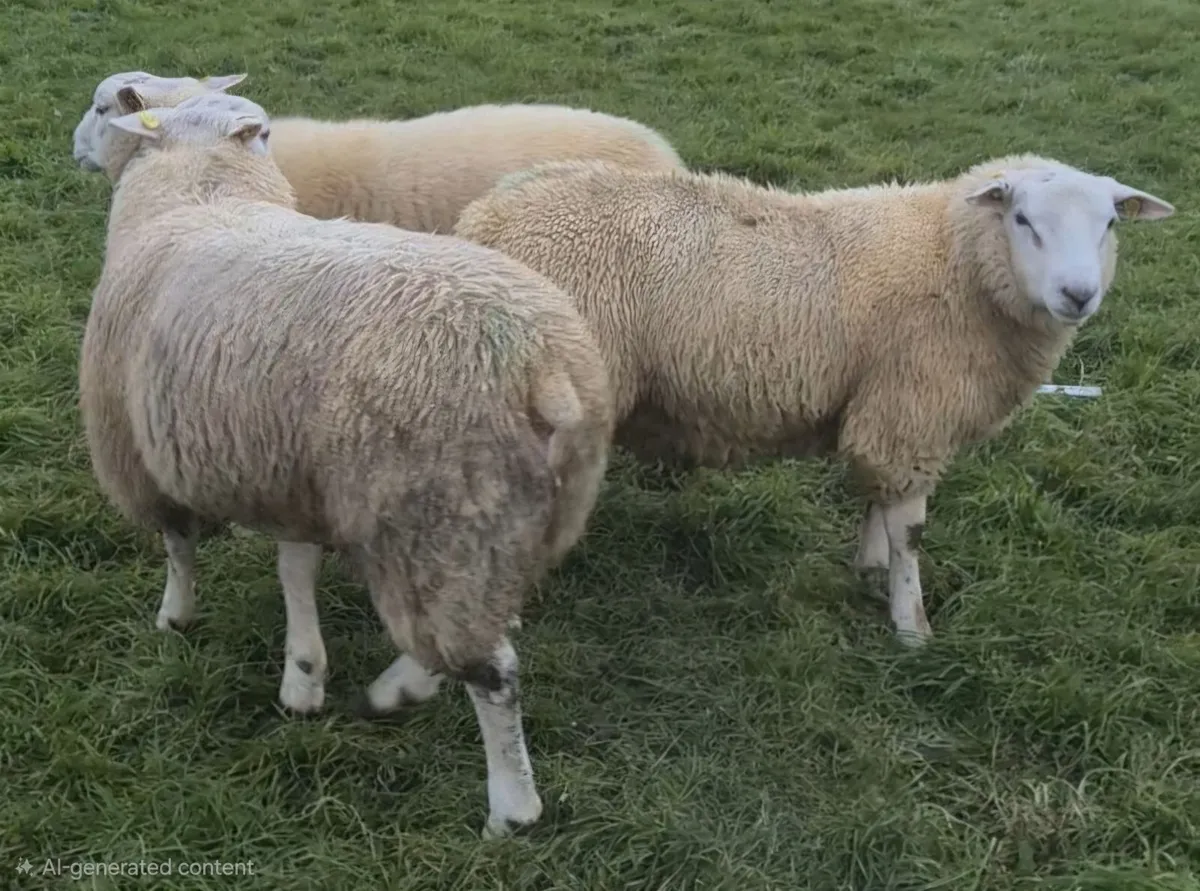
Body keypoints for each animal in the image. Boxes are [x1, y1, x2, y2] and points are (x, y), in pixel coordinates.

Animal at [77, 92, 614, 837]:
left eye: (101, 107)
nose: (76, 148)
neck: (201, 193)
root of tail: (543, 365)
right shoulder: (292, 470)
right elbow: (295, 569)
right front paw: (303, 674)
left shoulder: (143, 450)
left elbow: (178, 545)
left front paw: (175, 616)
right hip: (513, 520)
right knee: (471, 628)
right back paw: (399, 688)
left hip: (440, 516)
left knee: (492, 670)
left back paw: (509, 804)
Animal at [451, 155, 1175, 645]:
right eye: (1023, 219)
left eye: (1110, 224)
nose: (1079, 294)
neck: (951, 256)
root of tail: (483, 218)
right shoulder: (913, 407)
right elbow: (911, 529)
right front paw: (911, 626)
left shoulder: (884, 405)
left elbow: (877, 499)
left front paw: (869, 569)